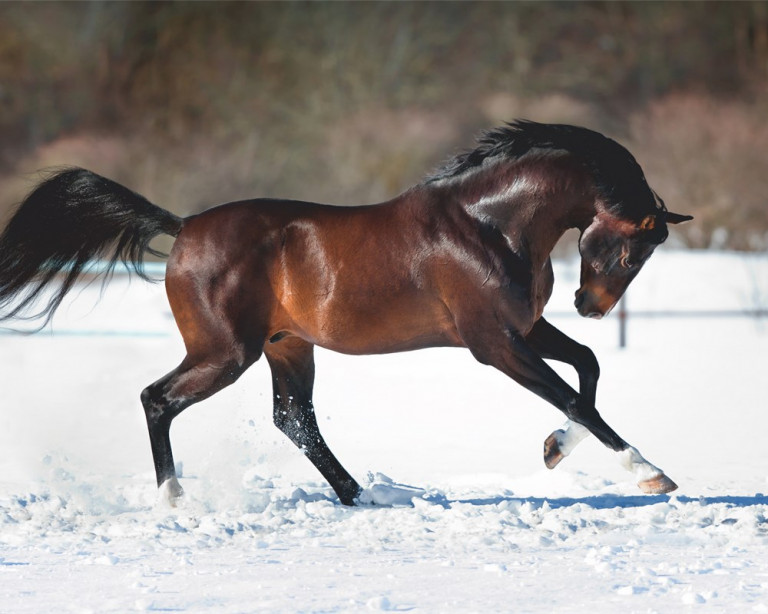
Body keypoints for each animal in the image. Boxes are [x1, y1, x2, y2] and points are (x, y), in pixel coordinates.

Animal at [0, 121, 688, 510]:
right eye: (632, 249)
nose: (590, 306)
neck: (489, 224)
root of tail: (185, 226)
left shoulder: (524, 328)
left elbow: (588, 370)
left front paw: (553, 450)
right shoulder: (493, 343)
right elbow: (572, 396)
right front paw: (651, 474)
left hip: (286, 346)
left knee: (293, 419)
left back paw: (364, 495)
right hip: (225, 353)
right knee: (157, 399)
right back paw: (175, 500)